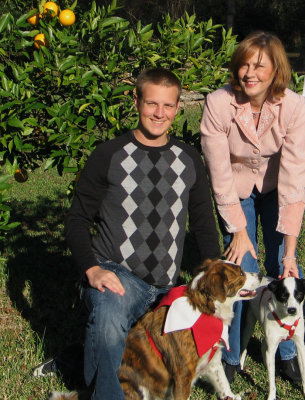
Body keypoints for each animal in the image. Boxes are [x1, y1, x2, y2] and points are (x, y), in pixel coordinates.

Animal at [48, 258, 260, 398]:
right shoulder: (183, 374)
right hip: (135, 387)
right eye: (241, 273)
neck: (202, 310)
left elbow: (223, 384)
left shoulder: (212, 362)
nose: (261, 275)